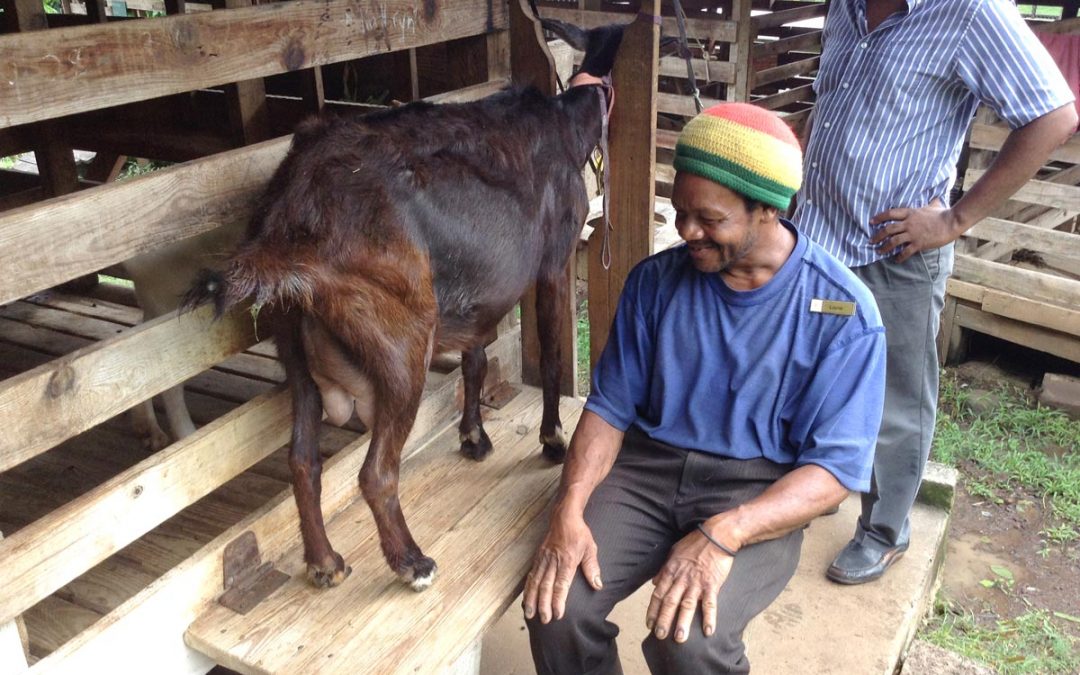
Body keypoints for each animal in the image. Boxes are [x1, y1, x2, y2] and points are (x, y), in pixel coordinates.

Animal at [184, 19, 626, 587]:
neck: (564, 123)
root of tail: (292, 214)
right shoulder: (552, 263)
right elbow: (550, 357)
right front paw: (552, 440)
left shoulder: (477, 289)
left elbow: (476, 360)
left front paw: (474, 437)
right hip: (401, 345)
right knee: (376, 473)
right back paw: (411, 562)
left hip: (294, 348)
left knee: (302, 460)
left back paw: (325, 562)